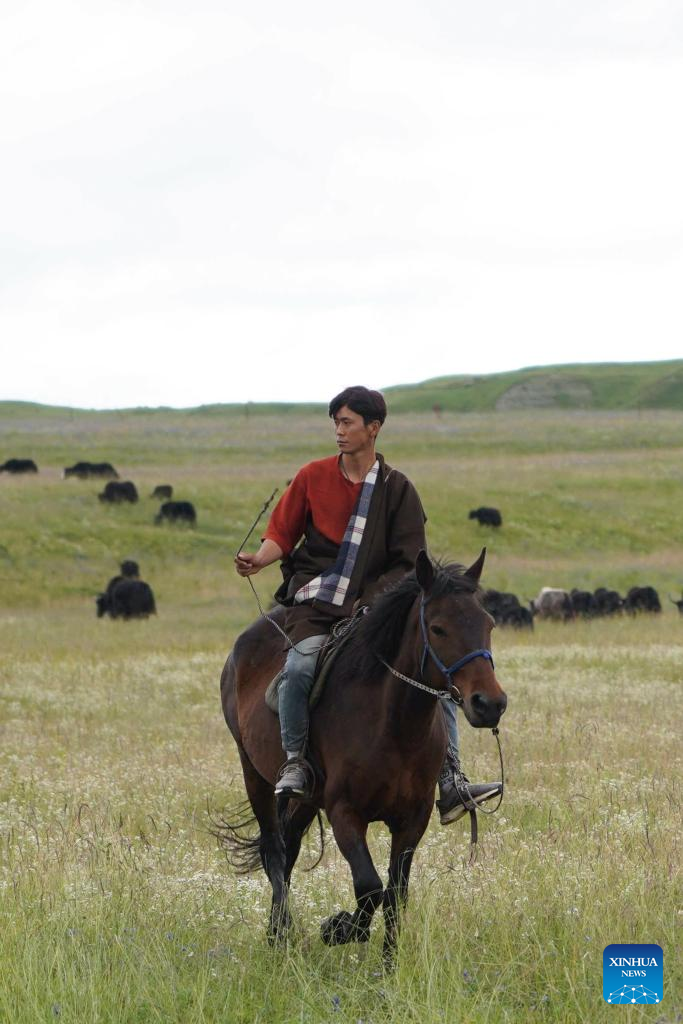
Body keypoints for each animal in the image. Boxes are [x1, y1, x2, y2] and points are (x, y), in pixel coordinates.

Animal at [219, 552, 507, 958]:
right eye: (437, 628)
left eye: (489, 624)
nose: (490, 704)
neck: (392, 726)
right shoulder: (345, 812)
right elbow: (369, 887)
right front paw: (338, 928)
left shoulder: (412, 820)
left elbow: (395, 894)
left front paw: (387, 963)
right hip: (254, 773)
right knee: (274, 849)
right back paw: (281, 934)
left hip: (306, 798)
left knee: (289, 849)